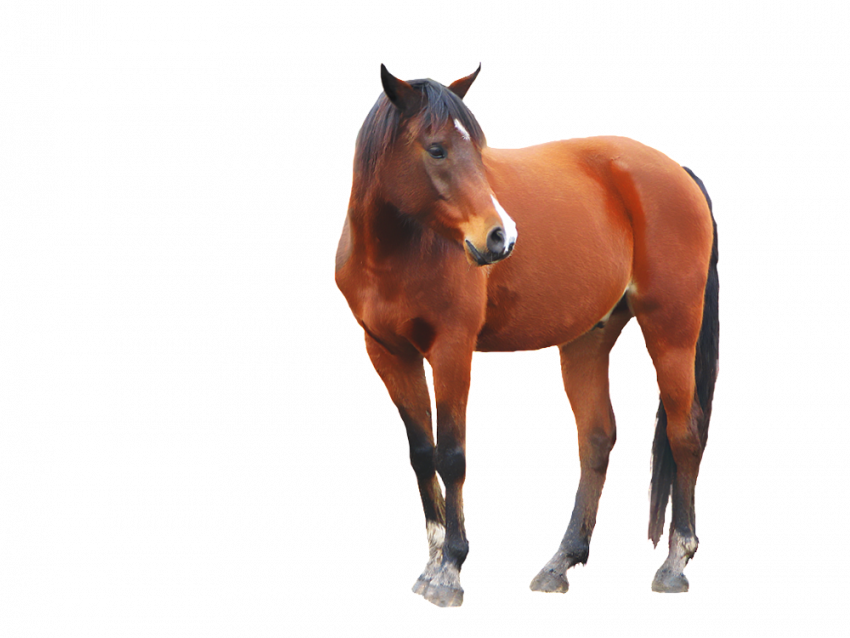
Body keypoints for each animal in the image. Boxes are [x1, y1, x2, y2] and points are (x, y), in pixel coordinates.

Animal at [334, 63, 720, 609]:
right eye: (436, 149)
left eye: (477, 149)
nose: (501, 237)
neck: (402, 249)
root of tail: (679, 172)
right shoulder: (390, 352)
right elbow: (422, 451)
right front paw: (433, 558)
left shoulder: (452, 349)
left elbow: (451, 454)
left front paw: (450, 567)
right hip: (588, 338)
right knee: (598, 436)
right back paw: (563, 561)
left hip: (671, 328)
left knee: (684, 432)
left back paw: (675, 562)